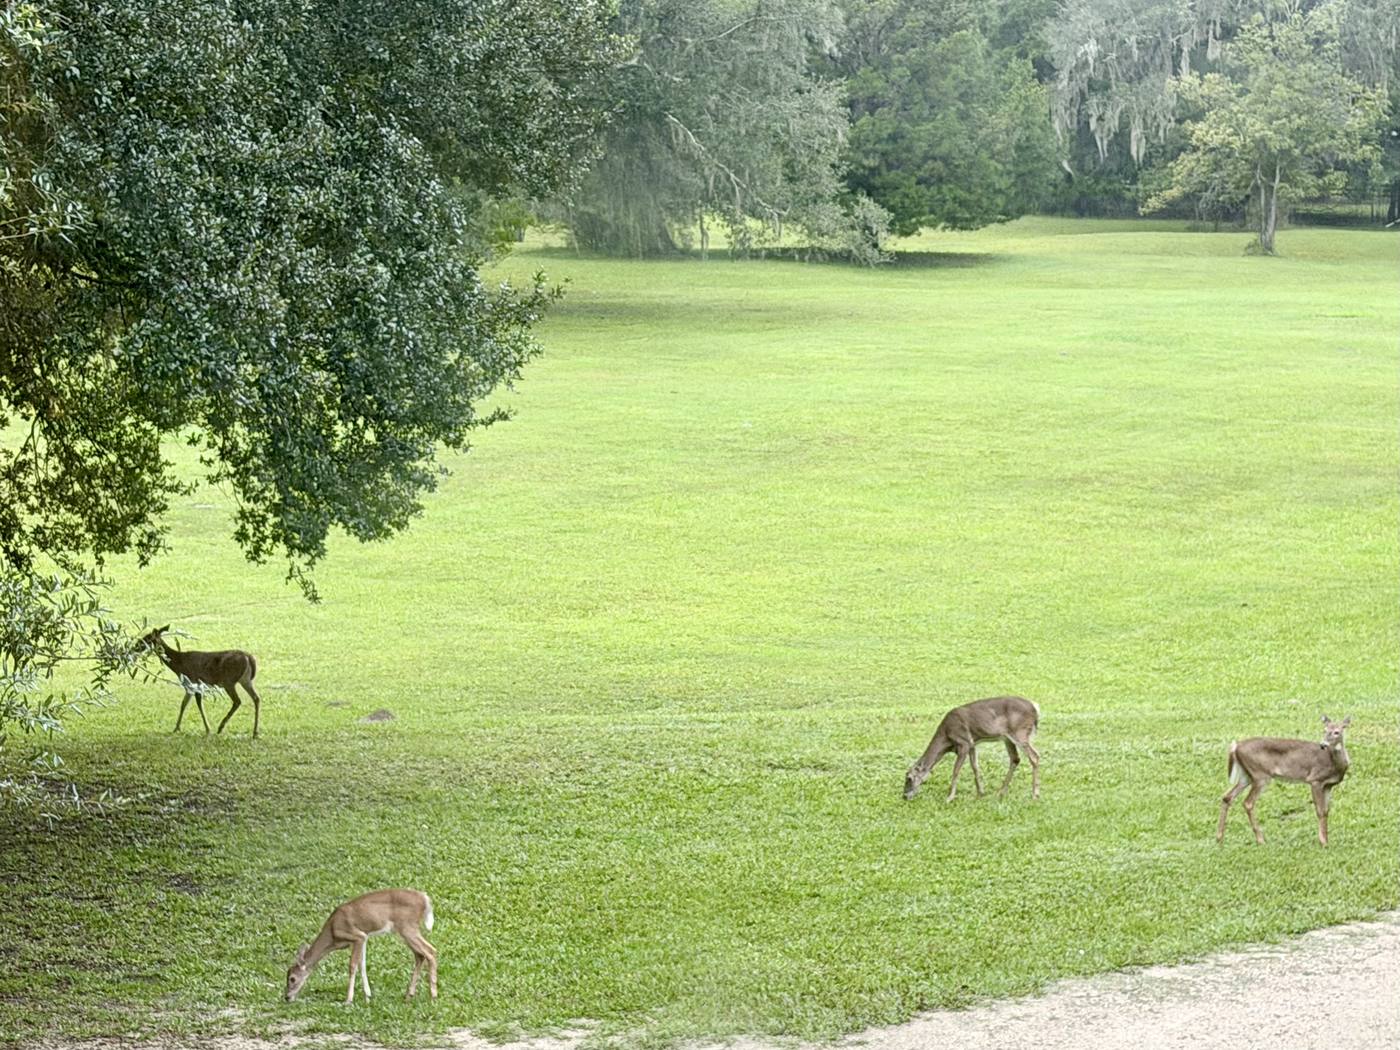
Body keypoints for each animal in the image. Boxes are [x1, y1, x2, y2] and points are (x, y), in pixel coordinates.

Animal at [285, 889, 438, 1004]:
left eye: (292, 978)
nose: (287, 997)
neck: (332, 934)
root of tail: (425, 899)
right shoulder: (364, 938)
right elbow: (362, 964)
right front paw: (368, 995)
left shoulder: (357, 936)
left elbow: (352, 965)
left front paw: (348, 1000)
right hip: (405, 930)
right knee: (420, 955)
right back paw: (409, 995)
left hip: (407, 927)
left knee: (430, 951)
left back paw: (433, 995)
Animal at [903, 695, 1041, 802]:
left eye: (909, 778)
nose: (904, 796)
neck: (946, 738)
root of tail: (1036, 708)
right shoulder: (972, 744)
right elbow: (975, 767)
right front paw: (980, 793)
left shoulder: (963, 742)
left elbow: (956, 770)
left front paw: (949, 797)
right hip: (1007, 738)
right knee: (1015, 759)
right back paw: (1001, 792)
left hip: (1019, 732)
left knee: (1034, 756)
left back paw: (1035, 794)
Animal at [1216, 715, 1351, 846]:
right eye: (1324, 730)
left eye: (1336, 732)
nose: (1323, 744)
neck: (1334, 764)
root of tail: (1235, 746)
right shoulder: (1315, 780)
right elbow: (1320, 811)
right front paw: (1323, 842)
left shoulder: (1328, 785)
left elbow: (1326, 811)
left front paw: (1326, 840)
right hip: (1260, 775)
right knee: (1247, 803)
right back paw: (1260, 840)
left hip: (1247, 776)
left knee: (1227, 797)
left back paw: (1219, 838)